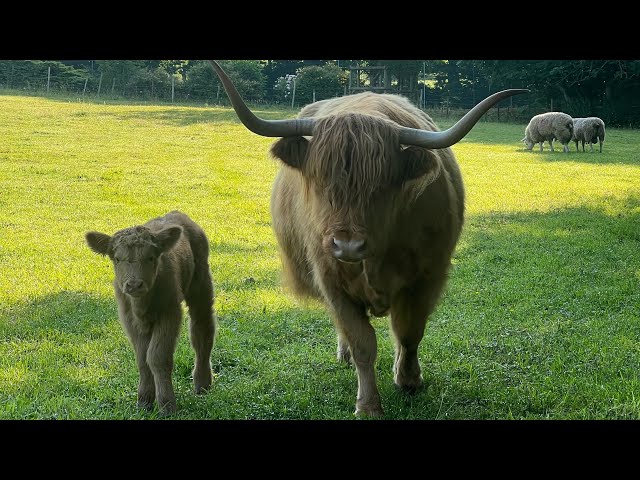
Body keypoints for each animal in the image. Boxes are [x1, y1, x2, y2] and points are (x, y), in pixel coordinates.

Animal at [85, 211, 216, 416]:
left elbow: (157, 357)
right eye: (117, 259)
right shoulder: (129, 318)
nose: (134, 284)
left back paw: (202, 384)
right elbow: (142, 358)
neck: (141, 305)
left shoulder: (170, 312)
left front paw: (167, 406)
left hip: (201, 284)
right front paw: (144, 402)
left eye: (151, 257)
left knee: (202, 329)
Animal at [208, 61, 528, 416]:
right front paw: (368, 404)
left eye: (383, 186)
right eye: (320, 181)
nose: (347, 245)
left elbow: (410, 332)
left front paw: (409, 380)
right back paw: (344, 354)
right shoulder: (331, 281)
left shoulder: (426, 278)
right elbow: (362, 342)